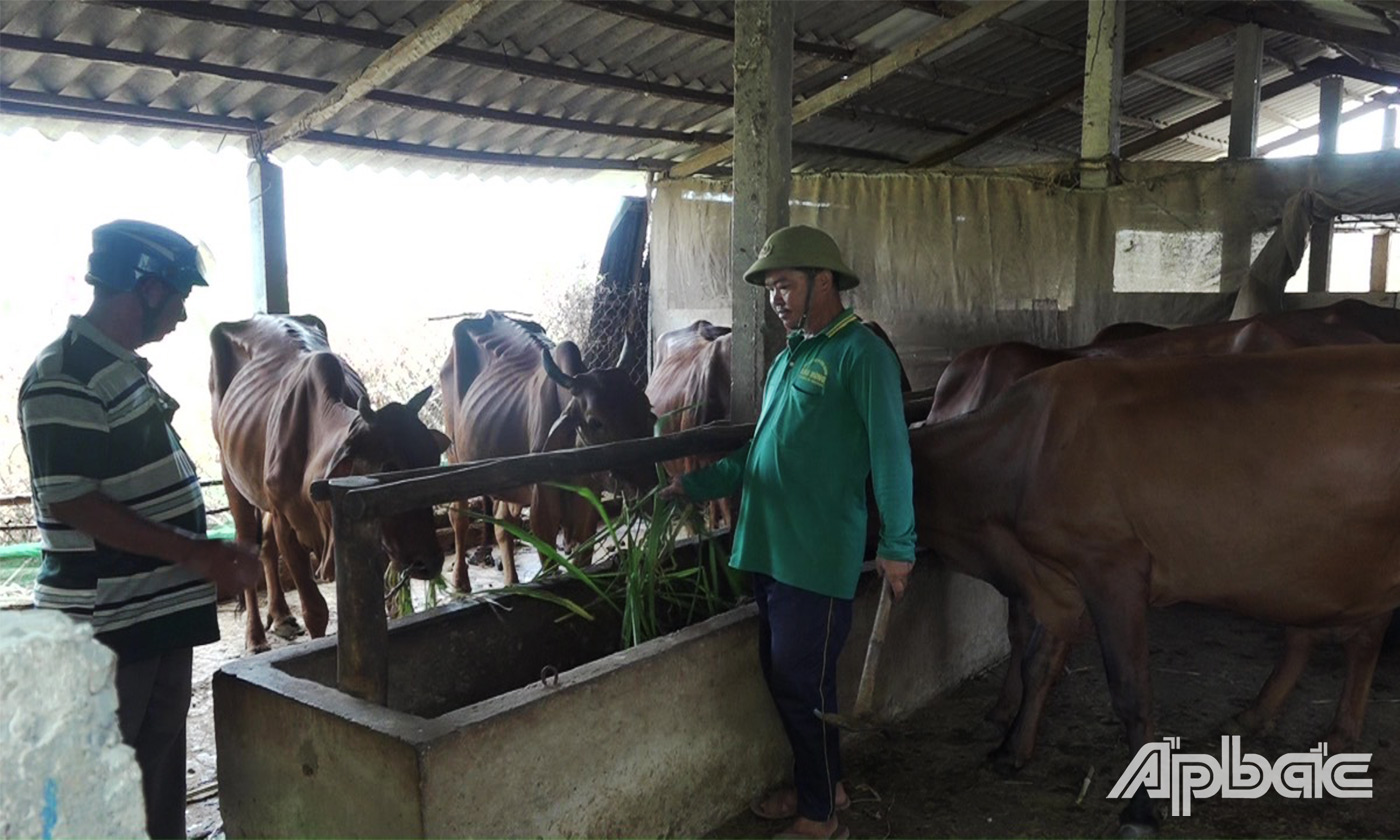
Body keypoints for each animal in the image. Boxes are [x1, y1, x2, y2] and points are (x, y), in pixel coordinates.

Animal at [210, 313, 450, 649]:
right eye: (389, 466)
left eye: (432, 462)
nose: (428, 560)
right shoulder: (287, 526)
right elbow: (316, 611)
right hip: (230, 476)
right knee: (248, 544)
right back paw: (255, 637)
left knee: (266, 544)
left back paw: (281, 617)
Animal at [439, 309, 652, 590]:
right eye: (596, 421)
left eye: (644, 406)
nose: (648, 485)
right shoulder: (543, 512)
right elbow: (550, 563)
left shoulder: (588, 506)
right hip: (455, 458)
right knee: (458, 516)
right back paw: (461, 580)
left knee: (503, 523)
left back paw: (512, 581)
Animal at [907, 344, 1400, 828]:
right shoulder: (1057, 578)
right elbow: (1037, 664)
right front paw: (1012, 751)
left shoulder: (1112, 565)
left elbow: (1130, 690)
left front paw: (1143, 807)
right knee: (1350, 637)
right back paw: (1303, 727)